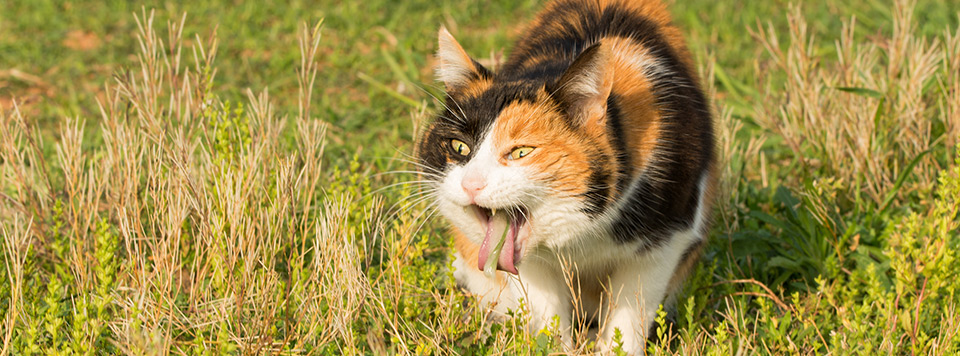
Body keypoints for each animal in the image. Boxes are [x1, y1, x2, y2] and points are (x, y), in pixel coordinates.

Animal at [416, 0, 716, 350]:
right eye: (459, 147)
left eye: (521, 152)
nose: (471, 184)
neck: (583, 235)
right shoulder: (531, 266)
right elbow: (549, 320)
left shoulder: (665, 241)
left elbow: (629, 318)